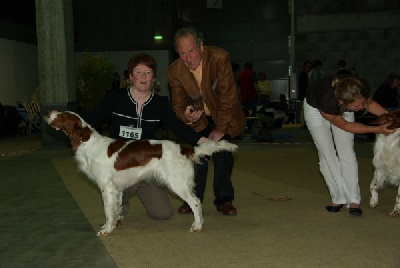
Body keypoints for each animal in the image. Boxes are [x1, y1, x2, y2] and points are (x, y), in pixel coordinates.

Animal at [44, 110, 238, 236]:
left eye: (62, 116)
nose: (47, 114)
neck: (88, 143)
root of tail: (183, 149)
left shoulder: (106, 186)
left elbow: (107, 209)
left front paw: (106, 229)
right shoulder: (117, 189)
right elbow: (115, 209)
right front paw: (114, 223)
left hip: (177, 183)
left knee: (196, 202)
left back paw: (197, 226)